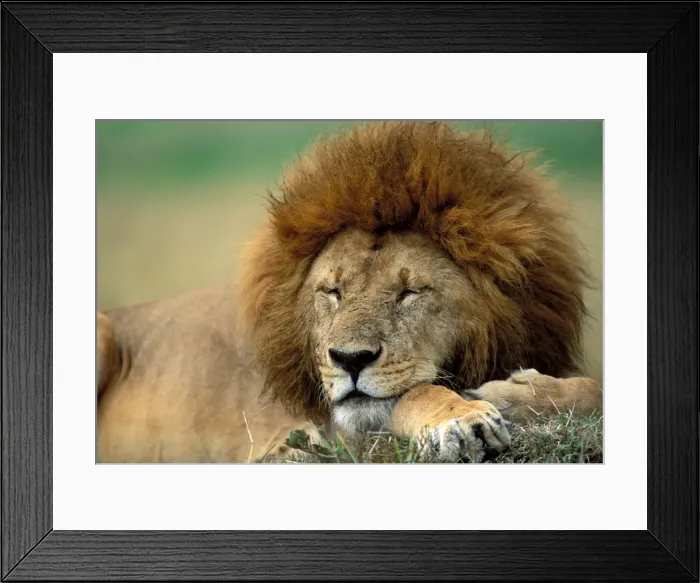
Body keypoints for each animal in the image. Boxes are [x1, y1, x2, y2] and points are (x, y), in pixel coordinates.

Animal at [97, 121, 602, 463]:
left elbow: (594, 388)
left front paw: (519, 396)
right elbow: (415, 393)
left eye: (410, 292)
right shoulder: (311, 440)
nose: (349, 360)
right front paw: (464, 415)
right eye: (333, 291)